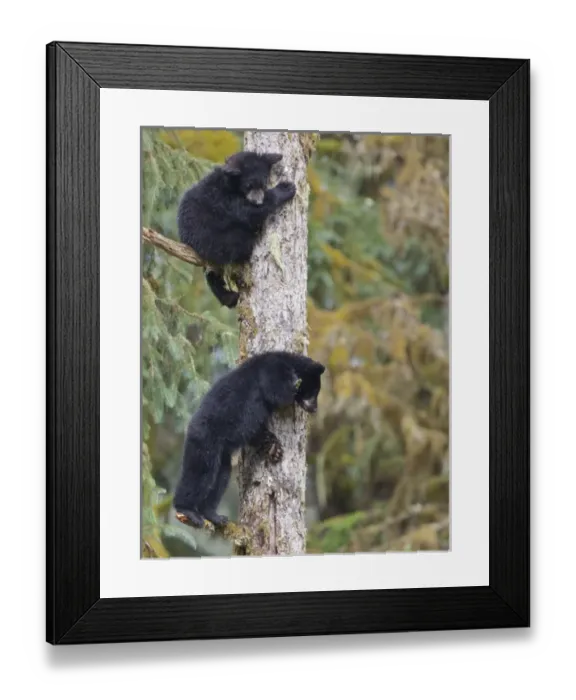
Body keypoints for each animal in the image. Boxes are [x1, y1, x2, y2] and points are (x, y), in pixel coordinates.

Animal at [173, 351, 325, 528]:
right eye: (314, 391)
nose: (314, 409)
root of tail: (189, 428)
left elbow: (257, 432)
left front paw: (274, 448)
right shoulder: (272, 370)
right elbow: (279, 393)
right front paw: (294, 384)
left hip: (222, 455)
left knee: (221, 477)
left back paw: (214, 515)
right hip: (205, 440)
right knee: (199, 473)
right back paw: (187, 510)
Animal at [177, 151, 296, 309]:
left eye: (263, 184)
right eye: (248, 185)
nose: (258, 201)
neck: (230, 184)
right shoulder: (225, 200)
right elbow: (248, 212)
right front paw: (284, 189)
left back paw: (228, 297)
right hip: (218, 241)